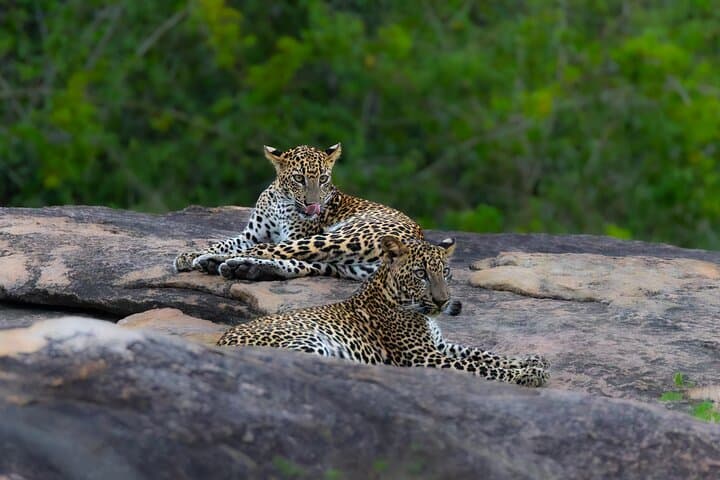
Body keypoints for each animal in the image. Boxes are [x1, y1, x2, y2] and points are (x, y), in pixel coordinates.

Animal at [174, 143, 424, 281]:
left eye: (323, 179)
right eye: (298, 178)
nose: (313, 206)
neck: (280, 202)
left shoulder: (293, 235)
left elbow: (255, 247)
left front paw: (196, 256)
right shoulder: (251, 235)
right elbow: (223, 243)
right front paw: (187, 255)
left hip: (337, 238)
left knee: (271, 252)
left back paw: (215, 263)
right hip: (344, 265)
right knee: (298, 264)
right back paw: (239, 268)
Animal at [217, 236, 549, 387]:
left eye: (445, 273)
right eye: (421, 274)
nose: (443, 302)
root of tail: (220, 342)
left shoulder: (438, 344)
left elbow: (483, 354)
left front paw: (532, 360)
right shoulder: (422, 356)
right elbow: (480, 367)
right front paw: (528, 374)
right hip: (306, 342)